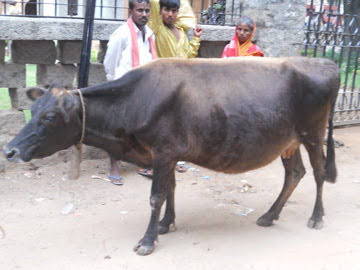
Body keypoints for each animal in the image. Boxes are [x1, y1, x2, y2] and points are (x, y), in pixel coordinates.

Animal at [4, 56, 338, 255]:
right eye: (32, 110)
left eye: (49, 117)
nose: (10, 150)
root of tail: (324, 62)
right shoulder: (166, 154)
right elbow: (170, 189)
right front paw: (167, 224)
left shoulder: (164, 151)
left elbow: (156, 196)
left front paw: (148, 240)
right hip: (288, 141)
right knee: (295, 173)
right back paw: (269, 215)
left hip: (312, 133)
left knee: (319, 172)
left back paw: (317, 217)